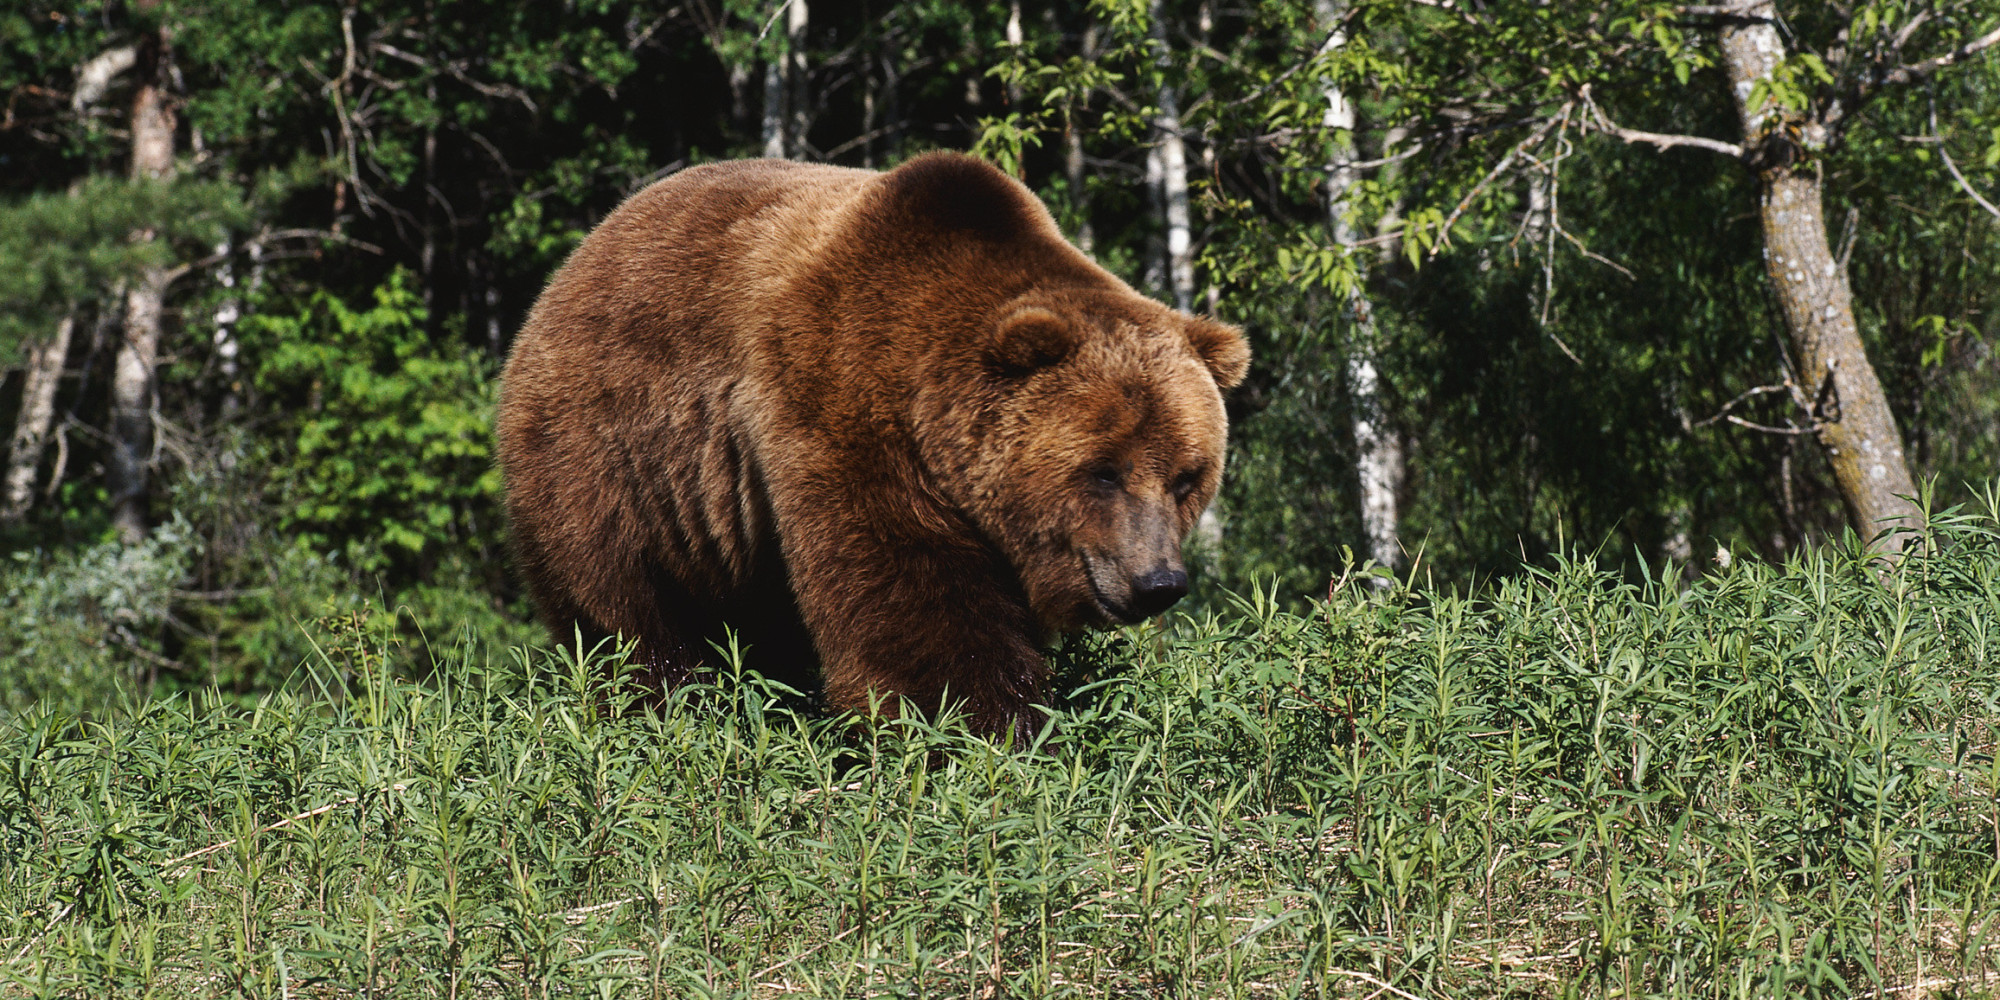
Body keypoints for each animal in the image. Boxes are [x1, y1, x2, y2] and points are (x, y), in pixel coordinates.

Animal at [496, 150, 1248, 744]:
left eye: (1187, 477)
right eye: (1103, 472)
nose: (1158, 582)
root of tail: (571, 266)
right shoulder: (842, 409)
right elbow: (911, 601)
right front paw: (980, 729)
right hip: (611, 457)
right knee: (622, 607)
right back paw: (661, 707)